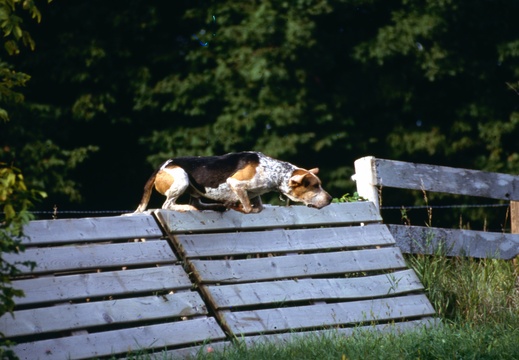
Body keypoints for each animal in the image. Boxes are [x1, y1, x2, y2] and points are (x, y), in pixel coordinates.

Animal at [137, 151, 334, 214]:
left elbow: (258, 207)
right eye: (315, 186)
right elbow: (248, 208)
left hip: (193, 189)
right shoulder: (236, 184)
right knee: (167, 205)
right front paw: (238, 206)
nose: (331, 199)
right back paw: (187, 207)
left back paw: (216, 206)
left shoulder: (255, 194)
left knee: (198, 203)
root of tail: (162, 166)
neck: (274, 171)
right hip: (181, 177)